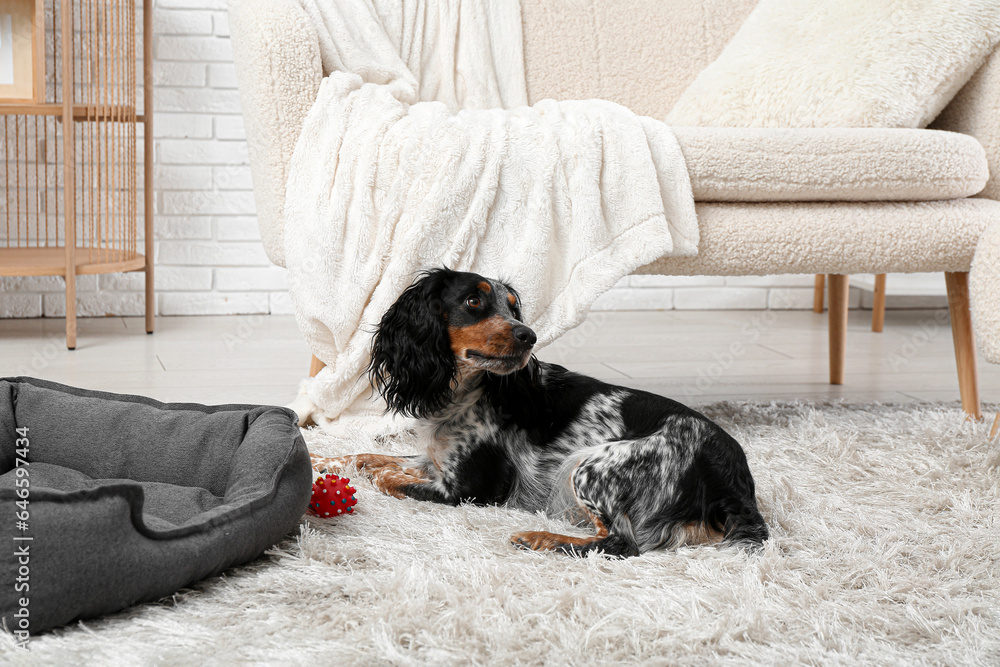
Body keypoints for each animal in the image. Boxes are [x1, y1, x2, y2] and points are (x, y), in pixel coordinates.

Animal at [316, 268, 768, 560]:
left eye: (513, 308)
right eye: (474, 300)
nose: (528, 335)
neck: (467, 390)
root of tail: (735, 477)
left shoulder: (469, 490)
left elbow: (383, 476)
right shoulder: (436, 459)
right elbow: (365, 457)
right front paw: (321, 458)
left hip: (592, 464)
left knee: (620, 544)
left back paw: (539, 538)